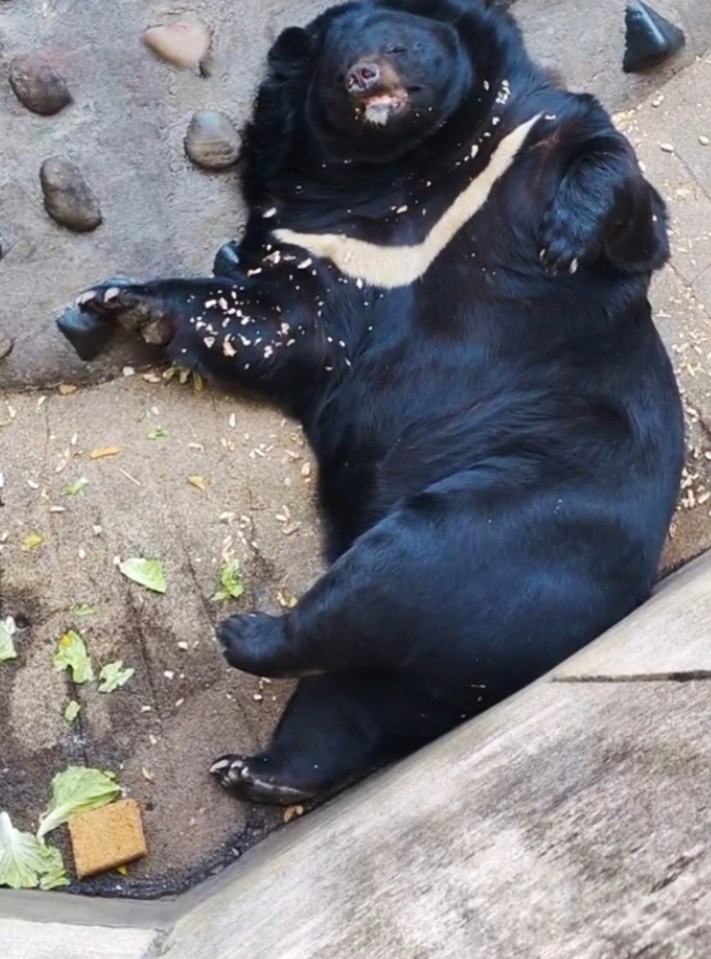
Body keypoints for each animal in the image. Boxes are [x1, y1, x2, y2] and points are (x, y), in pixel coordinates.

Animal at [59, 0, 684, 808]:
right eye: (333, 68)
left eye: (398, 43)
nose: (365, 78)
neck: (405, 172)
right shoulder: (319, 251)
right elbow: (279, 324)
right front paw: (119, 300)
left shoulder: (525, 143)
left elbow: (621, 193)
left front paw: (567, 237)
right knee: (344, 701)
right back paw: (255, 766)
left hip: (513, 511)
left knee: (386, 586)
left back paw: (245, 634)